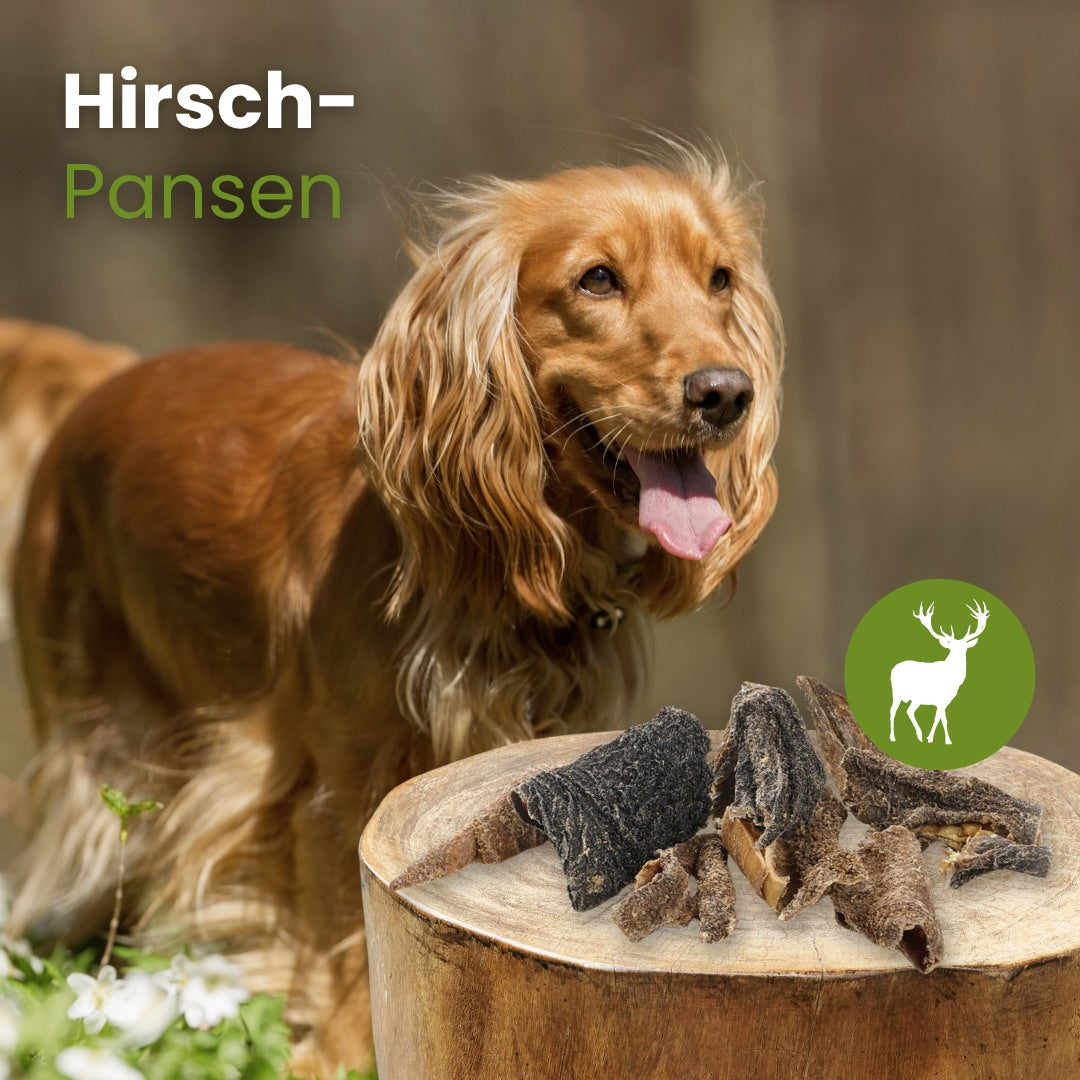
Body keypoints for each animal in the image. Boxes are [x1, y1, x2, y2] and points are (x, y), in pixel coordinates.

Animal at [888, 599, 990, 746]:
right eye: (952, 648)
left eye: (964, 648)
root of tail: (894, 668)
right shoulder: (941, 699)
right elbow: (940, 718)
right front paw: (933, 738)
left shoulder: (944, 700)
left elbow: (941, 718)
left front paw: (944, 739)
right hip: (897, 692)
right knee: (893, 710)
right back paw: (893, 737)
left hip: (916, 698)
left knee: (909, 710)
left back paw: (919, 735)